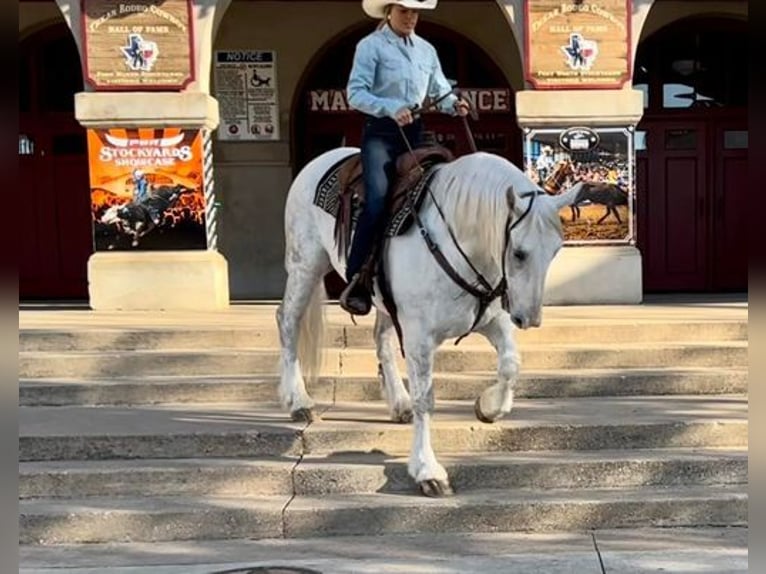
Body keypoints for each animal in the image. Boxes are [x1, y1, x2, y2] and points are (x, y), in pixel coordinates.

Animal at [278, 148, 584, 500]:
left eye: (555, 251)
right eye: (519, 253)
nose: (528, 318)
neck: (459, 240)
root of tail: (322, 159)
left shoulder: (490, 321)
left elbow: (510, 365)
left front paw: (489, 407)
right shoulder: (419, 338)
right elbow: (426, 399)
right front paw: (428, 471)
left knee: (381, 340)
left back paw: (399, 404)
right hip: (305, 265)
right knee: (288, 321)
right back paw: (298, 401)